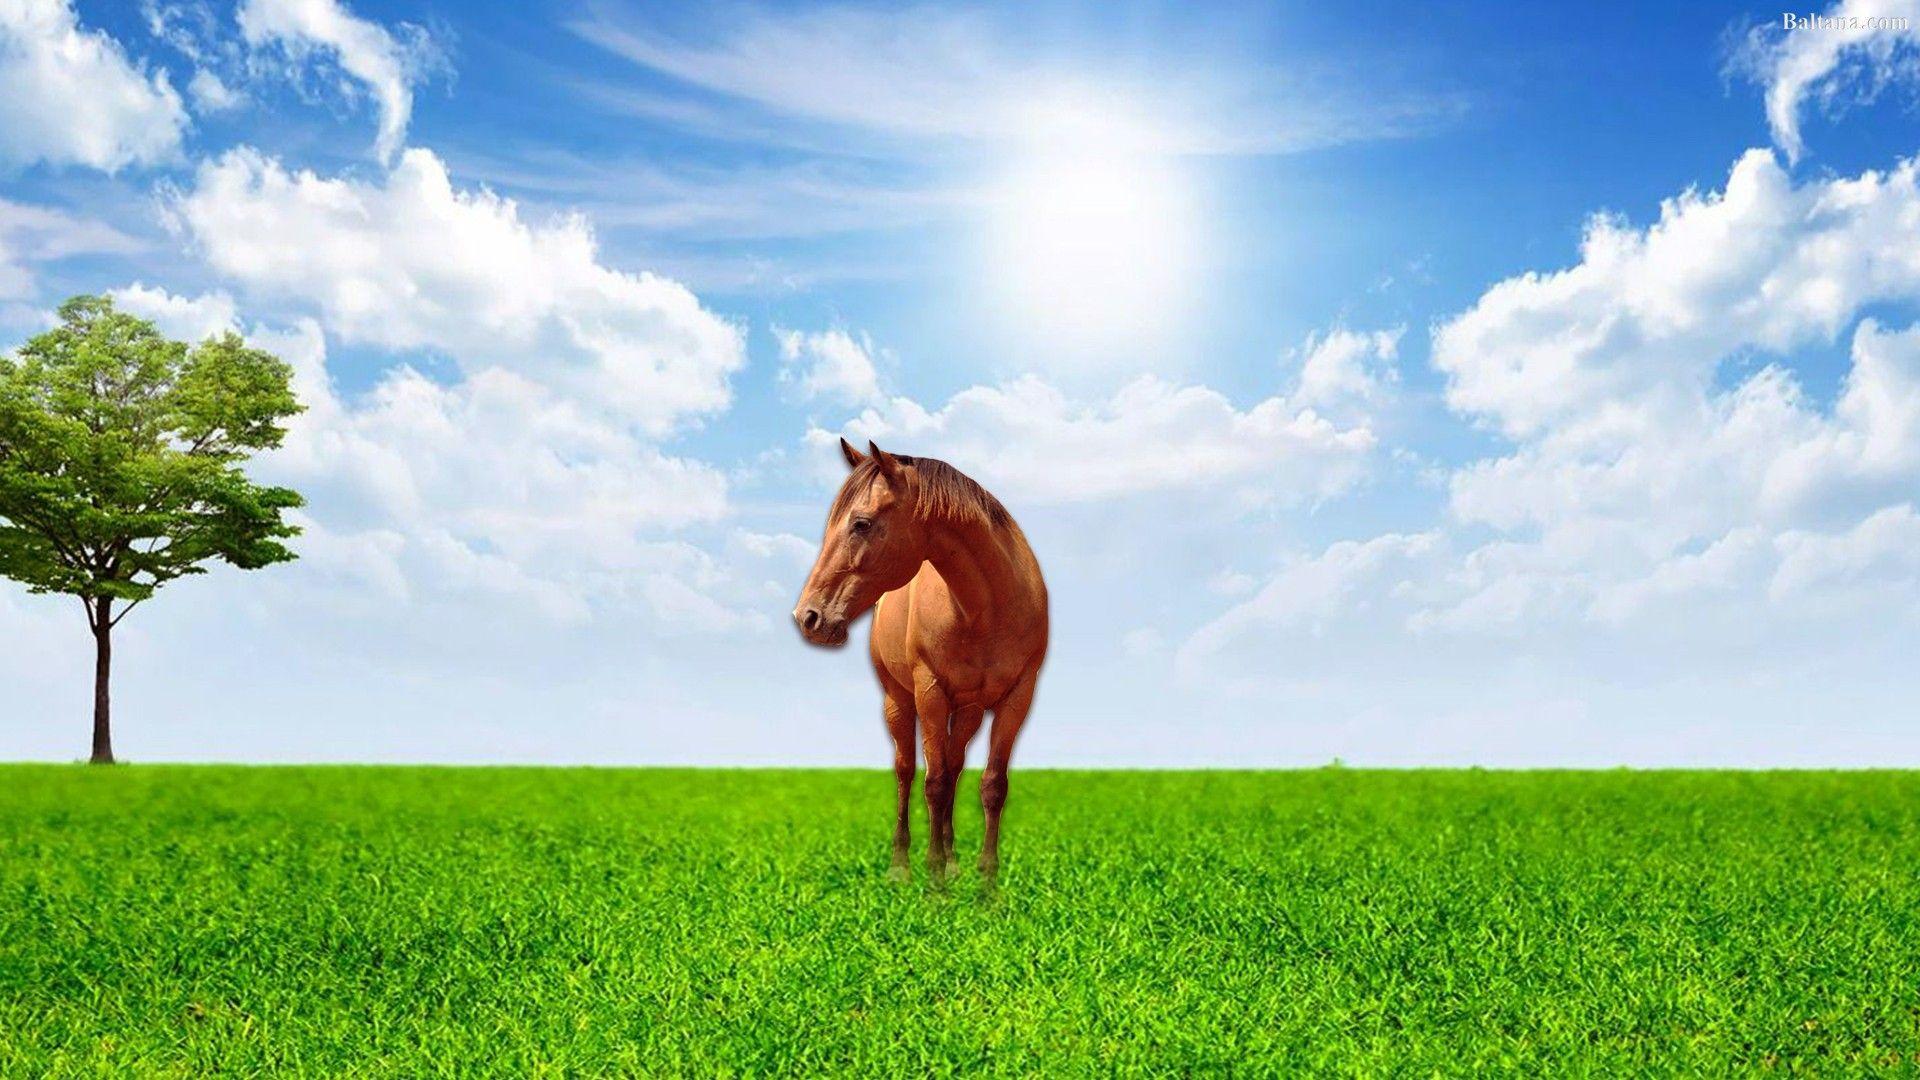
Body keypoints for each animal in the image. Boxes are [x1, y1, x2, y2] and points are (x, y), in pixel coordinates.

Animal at [794, 439, 1049, 883]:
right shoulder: (929, 692)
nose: (808, 617)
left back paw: (953, 859)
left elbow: (992, 784)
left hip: (968, 710)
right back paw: (902, 865)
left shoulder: (1019, 696)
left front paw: (987, 881)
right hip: (898, 700)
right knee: (906, 770)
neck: (987, 610)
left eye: (861, 523)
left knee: (956, 764)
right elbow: (934, 783)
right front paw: (933, 880)